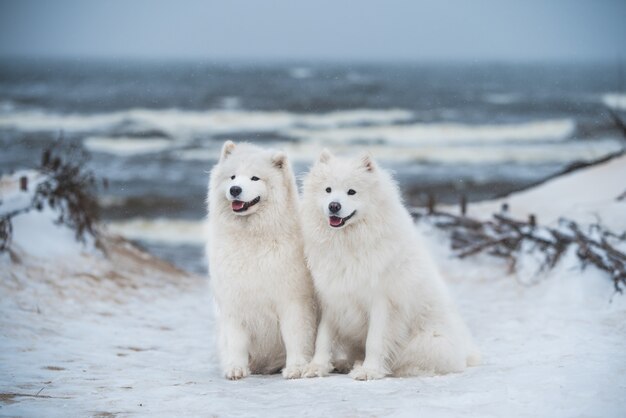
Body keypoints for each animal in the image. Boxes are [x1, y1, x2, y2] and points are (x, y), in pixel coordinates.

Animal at [208, 140, 316, 378]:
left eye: (255, 178)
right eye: (232, 177)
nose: (235, 190)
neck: (252, 239)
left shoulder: (292, 301)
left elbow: (295, 336)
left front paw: (295, 368)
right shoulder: (235, 301)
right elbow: (236, 341)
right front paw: (236, 369)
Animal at [300, 149, 480, 378]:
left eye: (352, 192)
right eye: (328, 190)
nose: (334, 206)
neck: (349, 243)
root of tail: (465, 353)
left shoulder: (382, 302)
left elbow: (375, 341)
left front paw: (370, 371)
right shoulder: (332, 297)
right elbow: (323, 339)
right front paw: (317, 367)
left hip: (428, 341)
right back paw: (345, 363)